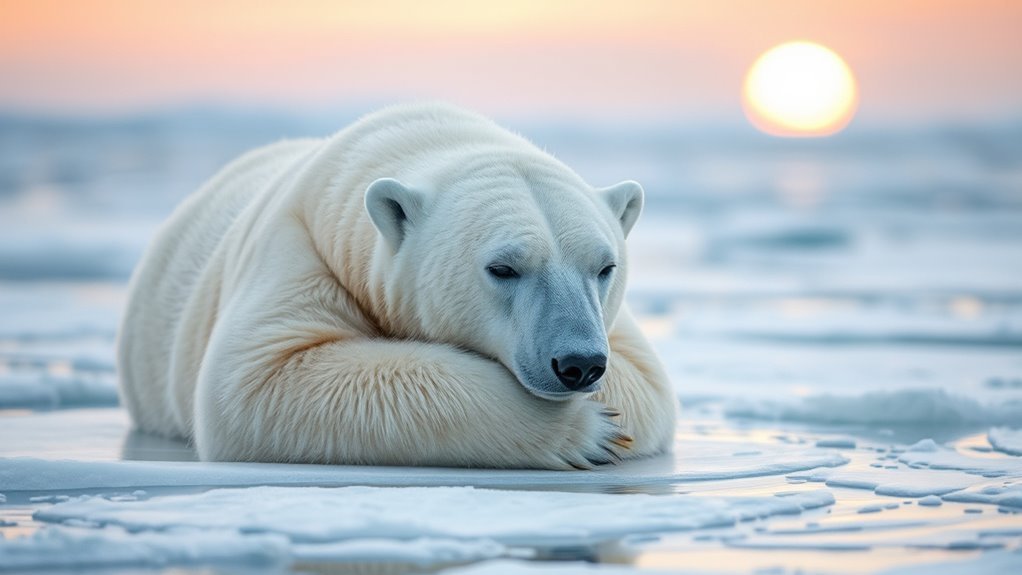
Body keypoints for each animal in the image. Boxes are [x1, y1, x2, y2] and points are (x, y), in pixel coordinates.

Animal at [117, 103, 677, 469]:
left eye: (604, 267)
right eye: (503, 268)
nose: (579, 363)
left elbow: (646, 380)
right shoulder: (302, 245)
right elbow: (259, 378)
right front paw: (592, 431)